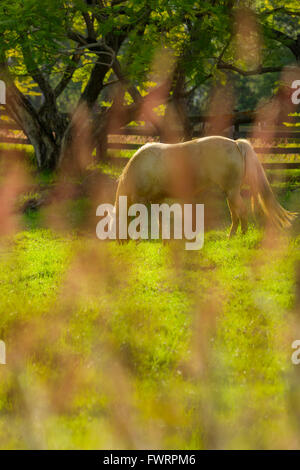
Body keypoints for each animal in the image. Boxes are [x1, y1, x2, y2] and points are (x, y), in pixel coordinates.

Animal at [113, 136, 296, 239]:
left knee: (242, 212)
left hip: (232, 192)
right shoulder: (158, 199)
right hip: (230, 193)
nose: (120, 243)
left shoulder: (141, 199)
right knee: (235, 214)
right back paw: (231, 236)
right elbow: (160, 221)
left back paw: (242, 236)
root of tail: (236, 144)